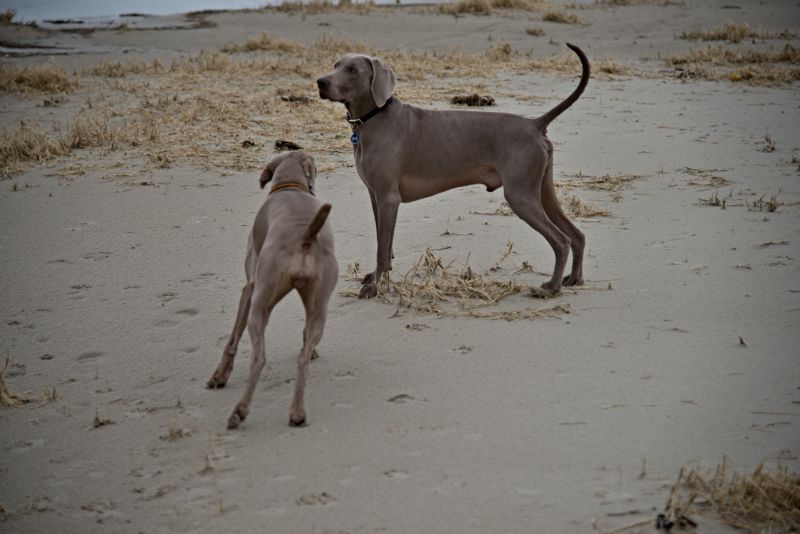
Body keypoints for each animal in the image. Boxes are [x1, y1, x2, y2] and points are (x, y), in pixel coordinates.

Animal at [206, 151, 338, 432]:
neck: (290, 186)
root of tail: (305, 237)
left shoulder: (249, 288)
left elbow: (232, 340)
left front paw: (219, 376)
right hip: (319, 307)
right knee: (302, 357)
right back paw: (297, 413)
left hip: (261, 303)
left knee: (258, 358)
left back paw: (239, 412)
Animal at [318, 44, 588, 300]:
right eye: (335, 65)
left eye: (353, 70)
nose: (320, 82)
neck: (374, 118)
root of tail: (534, 124)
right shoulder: (377, 198)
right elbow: (384, 245)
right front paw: (377, 277)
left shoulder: (388, 198)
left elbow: (382, 250)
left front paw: (375, 287)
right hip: (542, 190)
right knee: (577, 235)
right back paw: (574, 278)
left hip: (519, 194)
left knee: (561, 240)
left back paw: (551, 287)